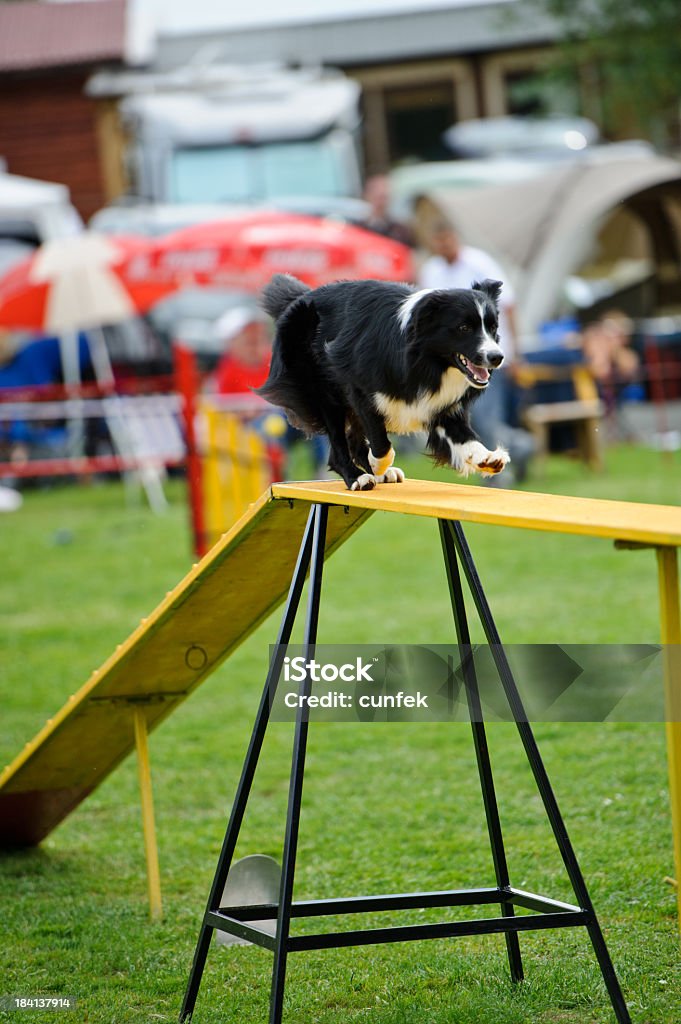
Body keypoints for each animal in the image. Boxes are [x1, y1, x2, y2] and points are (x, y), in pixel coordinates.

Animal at [258, 274, 507, 489]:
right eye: (464, 328)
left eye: (493, 327)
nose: (497, 357)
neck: (429, 362)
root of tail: (299, 297)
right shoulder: (358, 385)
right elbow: (381, 442)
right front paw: (376, 464)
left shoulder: (440, 403)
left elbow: (462, 435)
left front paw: (488, 458)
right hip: (320, 385)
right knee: (337, 438)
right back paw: (358, 477)